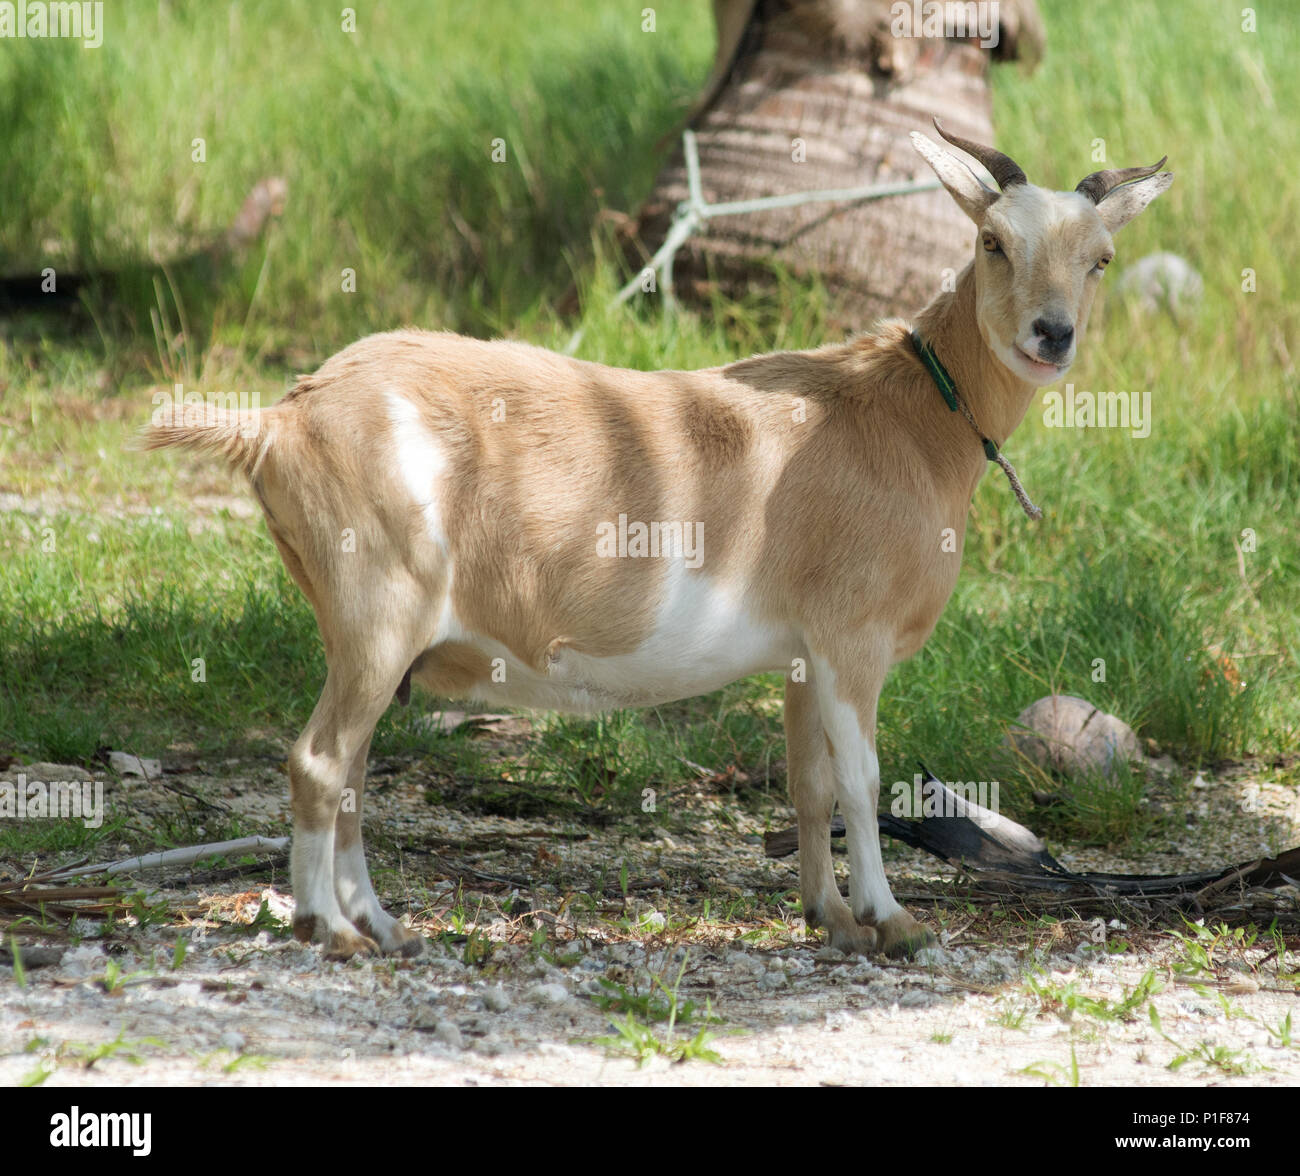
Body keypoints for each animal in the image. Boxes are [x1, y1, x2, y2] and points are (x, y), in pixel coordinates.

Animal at [143, 122, 1172, 960]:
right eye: (993, 242)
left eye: (1102, 258)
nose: (1051, 335)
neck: (906, 414)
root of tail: (279, 422)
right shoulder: (853, 638)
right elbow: (864, 779)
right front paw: (894, 922)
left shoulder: (801, 655)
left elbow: (809, 785)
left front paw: (830, 920)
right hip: (380, 607)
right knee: (320, 760)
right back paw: (331, 932)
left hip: (370, 635)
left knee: (351, 768)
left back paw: (383, 926)